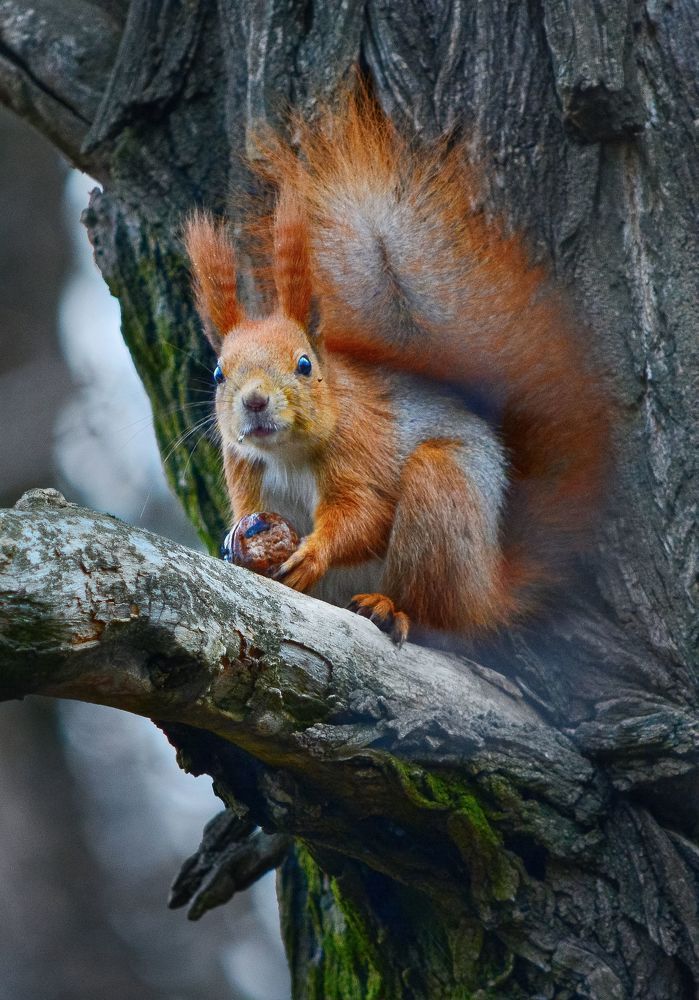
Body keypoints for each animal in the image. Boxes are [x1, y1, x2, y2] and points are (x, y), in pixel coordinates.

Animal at [184, 89, 611, 646]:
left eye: (304, 364)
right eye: (218, 375)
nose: (254, 401)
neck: (289, 454)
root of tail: (488, 590)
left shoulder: (361, 448)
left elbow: (367, 516)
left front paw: (315, 550)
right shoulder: (245, 472)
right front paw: (237, 542)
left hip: (441, 494)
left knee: (430, 606)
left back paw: (390, 607)